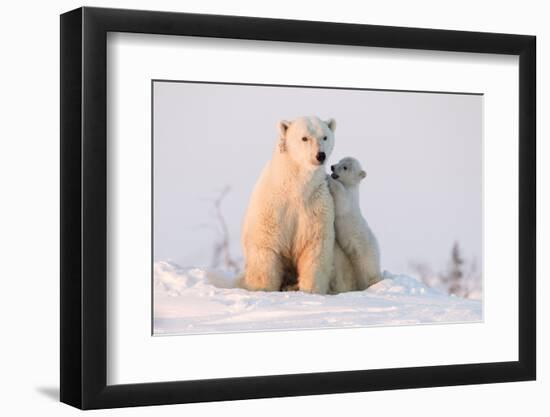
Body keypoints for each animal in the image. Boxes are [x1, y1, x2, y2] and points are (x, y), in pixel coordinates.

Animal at [242, 115, 358, 292]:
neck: (294, 187)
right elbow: (265, 247)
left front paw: (309, 290)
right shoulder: (272, 207)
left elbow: (314, 248)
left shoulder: (315, 206)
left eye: (325, 136)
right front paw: (262, 289)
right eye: (304, 138)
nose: (320, 155)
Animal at [328, 156, 384, 290]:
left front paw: (327, 177)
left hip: (366, 256)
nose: (332, 167)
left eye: (345, 167)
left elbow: (341, 201)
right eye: (340, 161)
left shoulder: (349, 200)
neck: (351, 187)